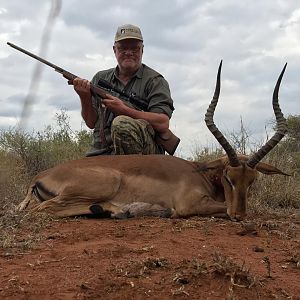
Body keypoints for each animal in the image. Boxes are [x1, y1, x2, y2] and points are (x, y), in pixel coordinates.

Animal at [17, 62, 290, 220]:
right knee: (42, 210)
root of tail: (40, 175)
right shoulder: (190, 204)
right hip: (105, 182)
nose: (240, 215)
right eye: (228, 178)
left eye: (252, 180)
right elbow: (217, 208)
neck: (201, 175)